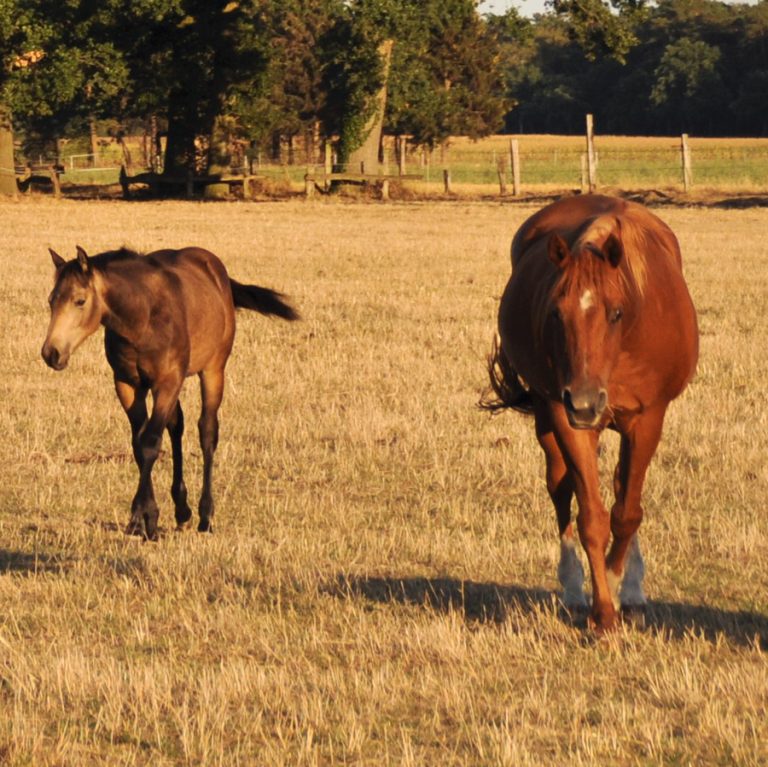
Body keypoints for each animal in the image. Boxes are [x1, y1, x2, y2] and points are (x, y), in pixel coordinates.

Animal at [41, 246, 298, 540]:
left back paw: (205, 516)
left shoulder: (167, 382)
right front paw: (145, 518)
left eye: (80, 301)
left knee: (207, 431)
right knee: (176, 426)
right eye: (51, 300)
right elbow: (139, 444)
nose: (51, 353)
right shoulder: (127, 385)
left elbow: (150, 442)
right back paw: (182, 509)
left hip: (213, 370)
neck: (143, 317)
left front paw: (143, 517)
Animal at [483, 195, 698, 633]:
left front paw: (618, 586)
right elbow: (593, 520)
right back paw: (572, 588)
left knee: (622, 491)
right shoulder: (566, 418)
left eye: (616, 312)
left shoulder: (648, 420)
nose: (583, 402)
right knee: (561, 490)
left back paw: (632, 588)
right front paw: (602, 613)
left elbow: (627, 513)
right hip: (553, 421)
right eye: (555, 312)